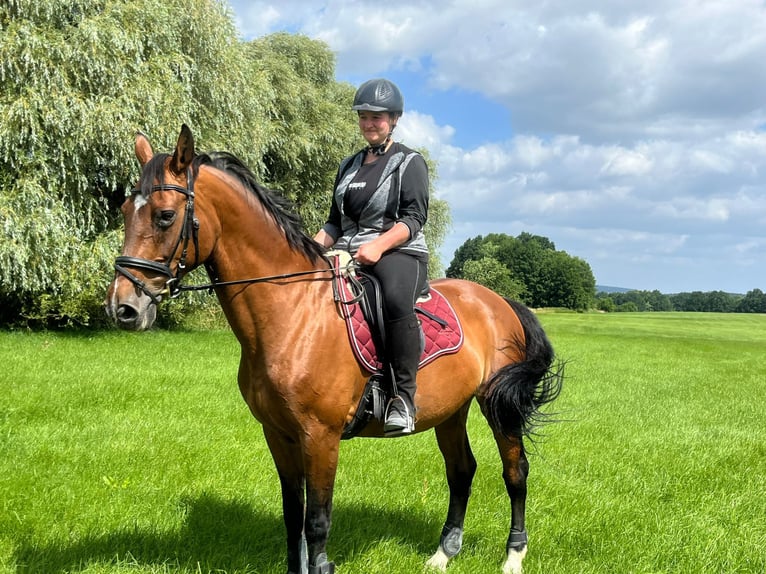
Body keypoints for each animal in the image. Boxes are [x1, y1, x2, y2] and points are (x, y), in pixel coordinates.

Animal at [105, 124, 563, 574]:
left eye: (165, 216)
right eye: (125, 211)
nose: (123, 308)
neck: (294, 313)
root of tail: (499, 301)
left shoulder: (320, 436)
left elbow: (317, 521)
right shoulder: (279, 434)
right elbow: (294, 516)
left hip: (497, 405)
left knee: (515, 472)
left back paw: (513, 556)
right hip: (452, 409)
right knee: (462, 470)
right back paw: (442, 554)